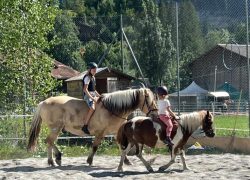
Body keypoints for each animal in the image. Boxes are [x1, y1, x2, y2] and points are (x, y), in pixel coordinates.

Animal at [26, 88, 156, 167]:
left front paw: (126, 161)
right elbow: (95, 147)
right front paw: (90, 161)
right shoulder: (100, 133)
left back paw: (56, 159)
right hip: (55, 128)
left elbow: (121, 147)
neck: (112, 109)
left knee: (50, 142)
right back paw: (53, 160)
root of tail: (43, 102)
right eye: (148, 99)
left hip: (57, 129)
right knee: (49, 141)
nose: (155, 114)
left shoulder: (115, 132)